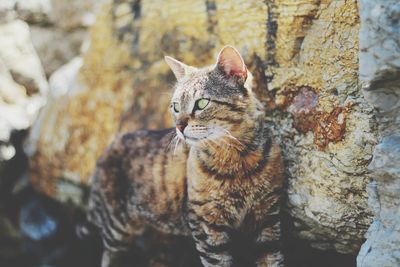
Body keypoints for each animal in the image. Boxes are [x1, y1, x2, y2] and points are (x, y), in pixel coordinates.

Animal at [87, 46, 286, 267]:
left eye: (201, 103)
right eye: (175, 106)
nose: (179, 127)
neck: (237, 160)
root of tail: (108, 148)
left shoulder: (268, 216)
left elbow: (272, 258)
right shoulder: (206, 225)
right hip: (116, 227)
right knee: (108, 255)